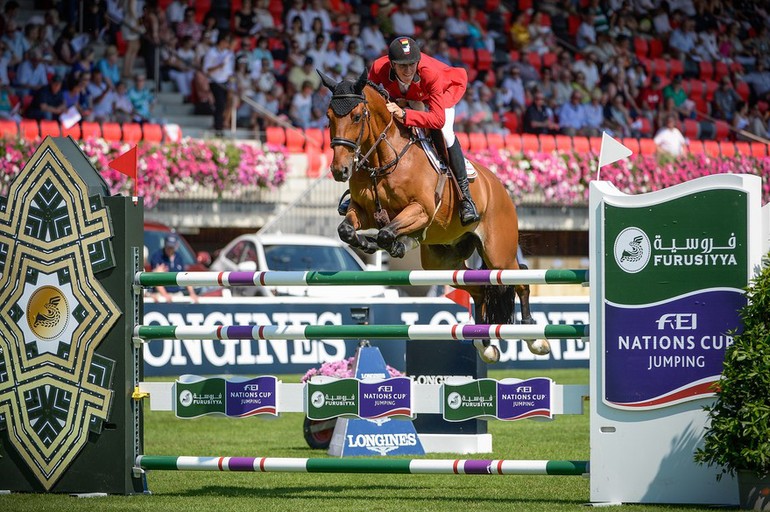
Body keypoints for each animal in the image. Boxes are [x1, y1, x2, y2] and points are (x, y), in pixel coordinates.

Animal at [316, 69, 544, 364]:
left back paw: (534, 337)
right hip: (442, 259)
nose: (339, 170)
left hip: (498, 253)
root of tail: (499, 186)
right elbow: (348, 231)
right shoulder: (362, 212)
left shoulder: (421, 210)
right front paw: (369, 243)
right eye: (329, 117)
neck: (383, 158)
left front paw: (394, 244)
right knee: (479, 287)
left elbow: (387, 232)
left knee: (521, 279)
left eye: (356, 116)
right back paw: (485, 344)